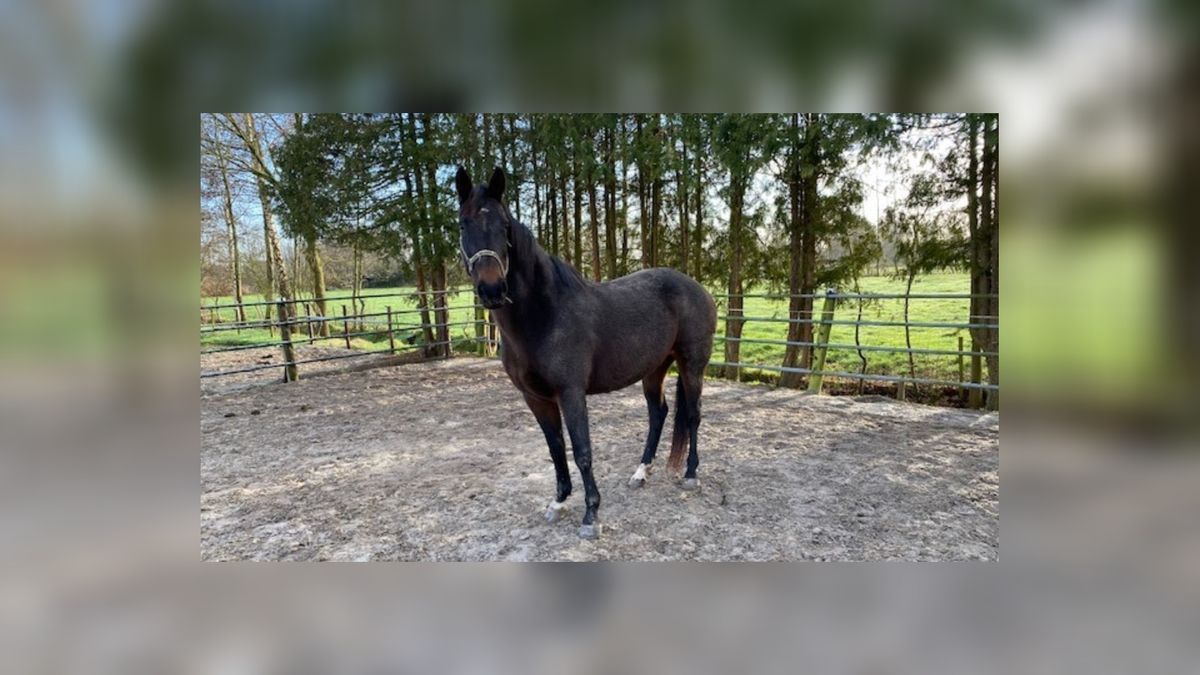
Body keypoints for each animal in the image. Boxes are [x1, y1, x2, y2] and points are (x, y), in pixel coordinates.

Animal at [455, 166, 717, 539]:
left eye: (503, 225)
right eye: (463, 224)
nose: (492, 289)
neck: (545, 315)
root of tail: (698, 288)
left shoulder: (571, 393)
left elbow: (582, 451)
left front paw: (591, 515)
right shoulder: (536, 398)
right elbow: (556, 449)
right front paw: (558, 502)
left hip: (692, 364)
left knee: (692, 415)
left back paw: (691, 475)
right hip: (654, 369)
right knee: (659, 414)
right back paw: (641, 472)